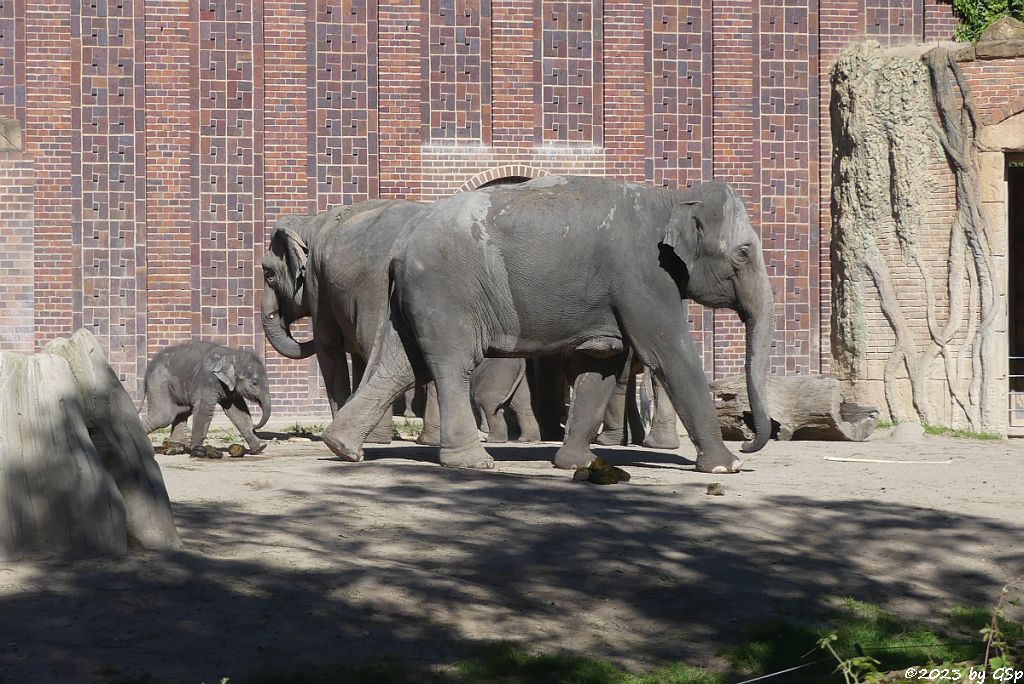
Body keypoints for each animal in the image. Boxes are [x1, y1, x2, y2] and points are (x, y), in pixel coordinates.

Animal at [138, 339, 272, 456]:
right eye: (254, 383)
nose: (255, 425)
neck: (232, 353)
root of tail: (147, 370)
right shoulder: (207, 379)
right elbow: (204, 409)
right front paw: (197, 451)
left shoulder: (229, 387)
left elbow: (238, 412)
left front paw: (260, 447)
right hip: (158, 383)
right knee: (163, 416)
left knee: (182, 411)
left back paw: (177, 448)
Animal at [260, 197, 540, 444]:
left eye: (269, 274)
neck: (310, 221)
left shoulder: (319, 285)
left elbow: (329, 347)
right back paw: (428, 440)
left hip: (377, 289)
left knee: (374, 344)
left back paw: (384, 439)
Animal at [323, 176, 770, 475]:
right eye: (744, 253)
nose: (749, 444)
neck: (672, 197)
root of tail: (401, 246)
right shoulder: (644, 276)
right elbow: (670, 353)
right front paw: (725, 467)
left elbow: (602, 365)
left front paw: (578, 463)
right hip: (445, 292)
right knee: (451, 364)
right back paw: (473, 462)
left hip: (414, 299)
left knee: (399, 363)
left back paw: (342, 448)